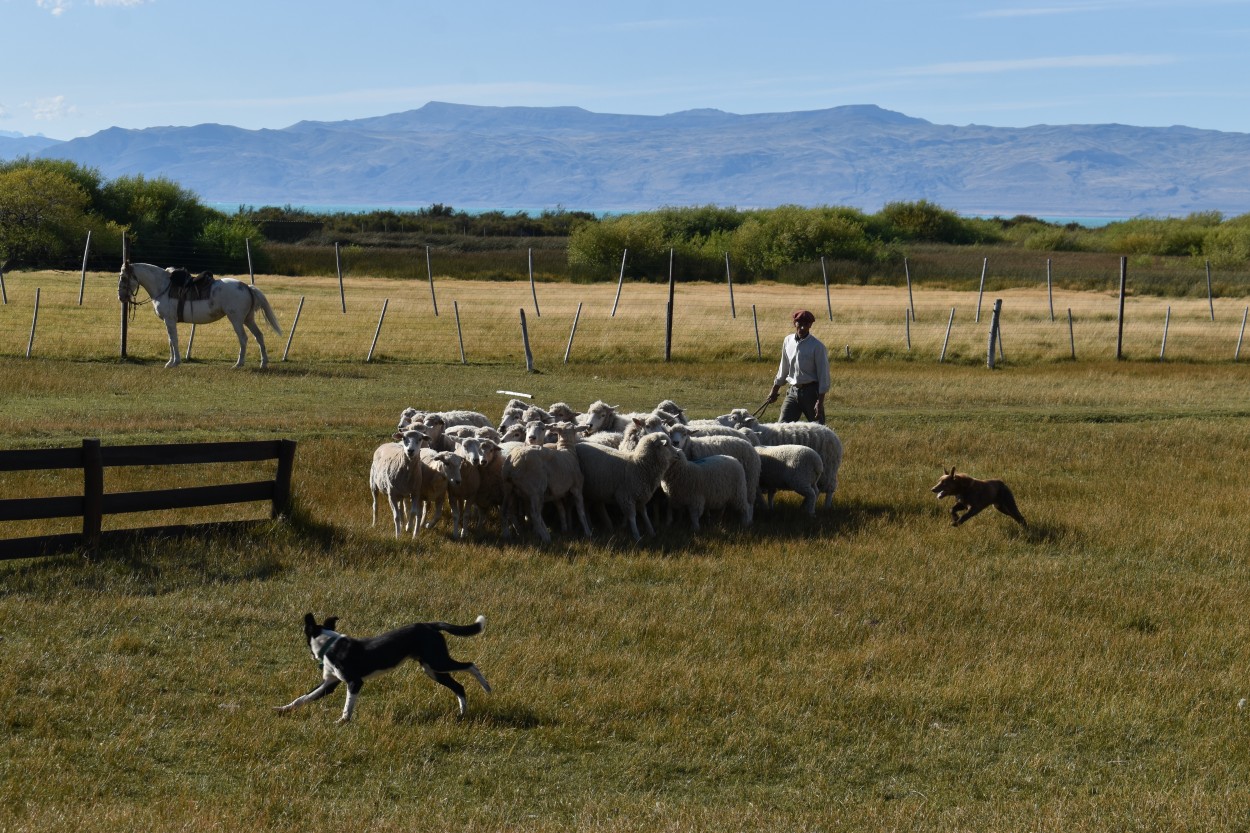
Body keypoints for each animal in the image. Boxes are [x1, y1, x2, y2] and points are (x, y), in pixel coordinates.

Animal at [118, 256, 282, 367]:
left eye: (124, 277)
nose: (121, 297)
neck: (163, 286)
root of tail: (247, 287)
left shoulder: (169, 320)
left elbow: (173, 340)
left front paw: (174, 362)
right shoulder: (168, 321)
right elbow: (171, 340)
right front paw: (171, 361)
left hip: (236, 319)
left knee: (243, 338)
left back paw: (238, 364)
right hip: (248, 319)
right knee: (259, 336)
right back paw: (263, 363)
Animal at [276, 610, 490, 720]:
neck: (330, 645)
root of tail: (430, 625)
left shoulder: (354, 682)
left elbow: (347, 706)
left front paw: (342, 722)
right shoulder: (329, 684)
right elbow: (303, 698)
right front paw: (282, 709)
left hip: (438, 662)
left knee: (471, 665)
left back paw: (487, 687)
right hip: (432, 669)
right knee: (459, 687)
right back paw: (461, 714)